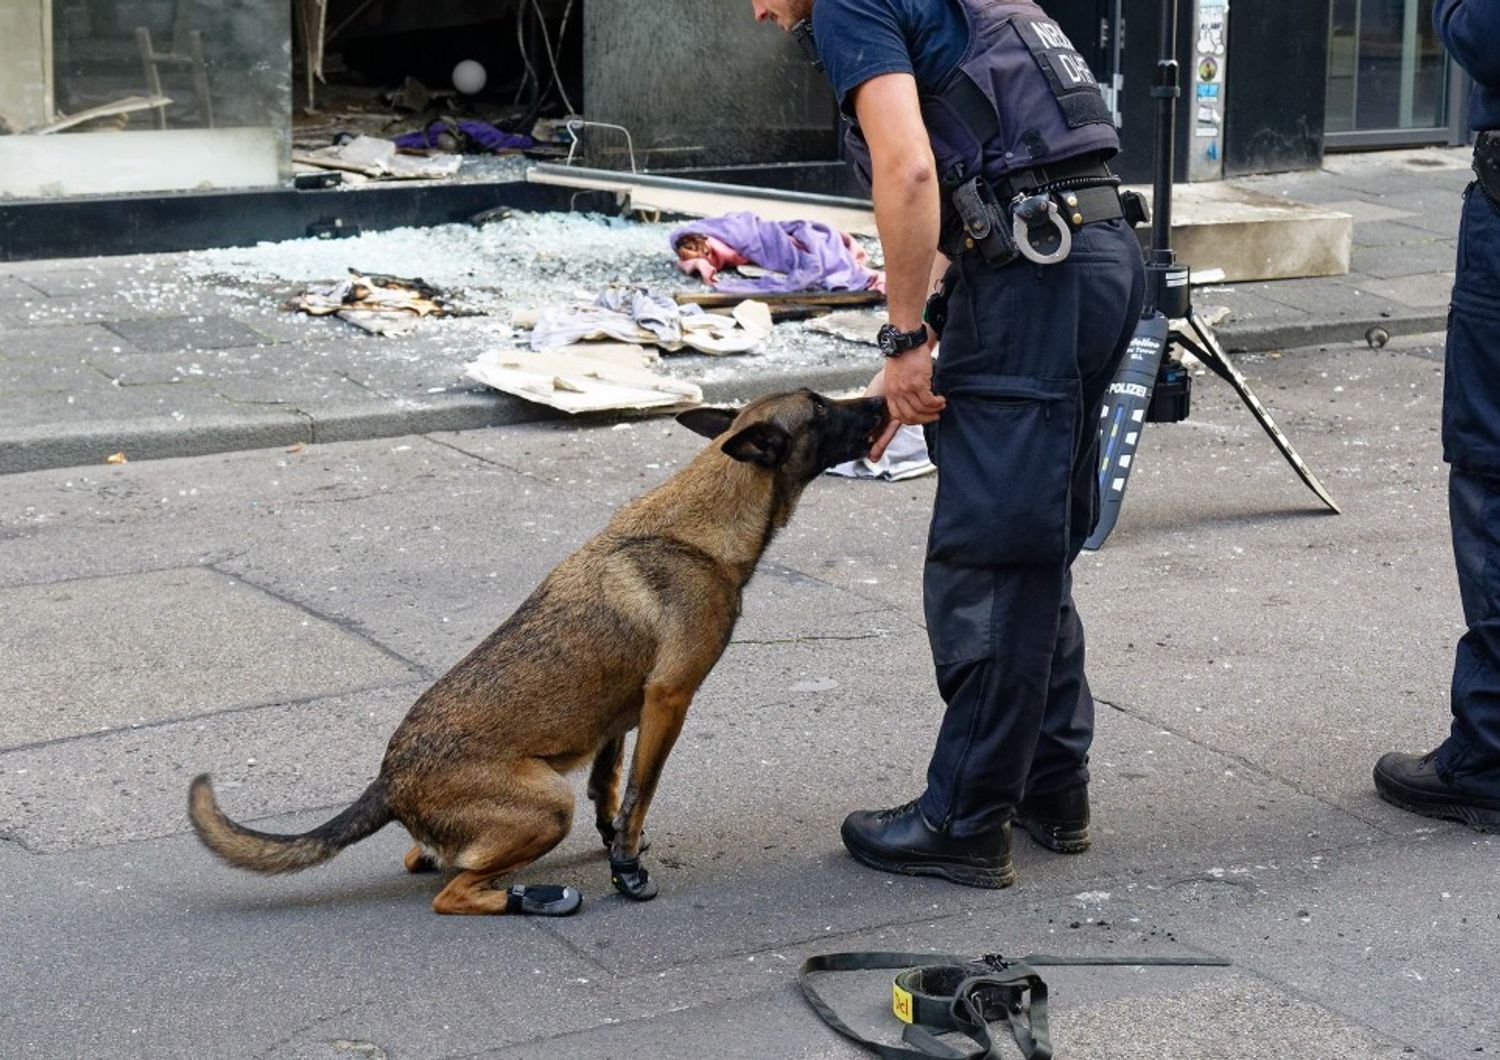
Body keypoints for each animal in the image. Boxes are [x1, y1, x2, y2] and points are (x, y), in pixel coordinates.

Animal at [192, 386, 882, 911]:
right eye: (822, 409)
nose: (880, 399)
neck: (699, 527)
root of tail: (389, 781)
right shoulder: (668, 700)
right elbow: (639, 792)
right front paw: (626, 870)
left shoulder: (623, 716)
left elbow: (609, 785)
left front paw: (614, 845)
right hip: (548, 805)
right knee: (452, 892)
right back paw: (529, 897)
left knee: (427, 859)